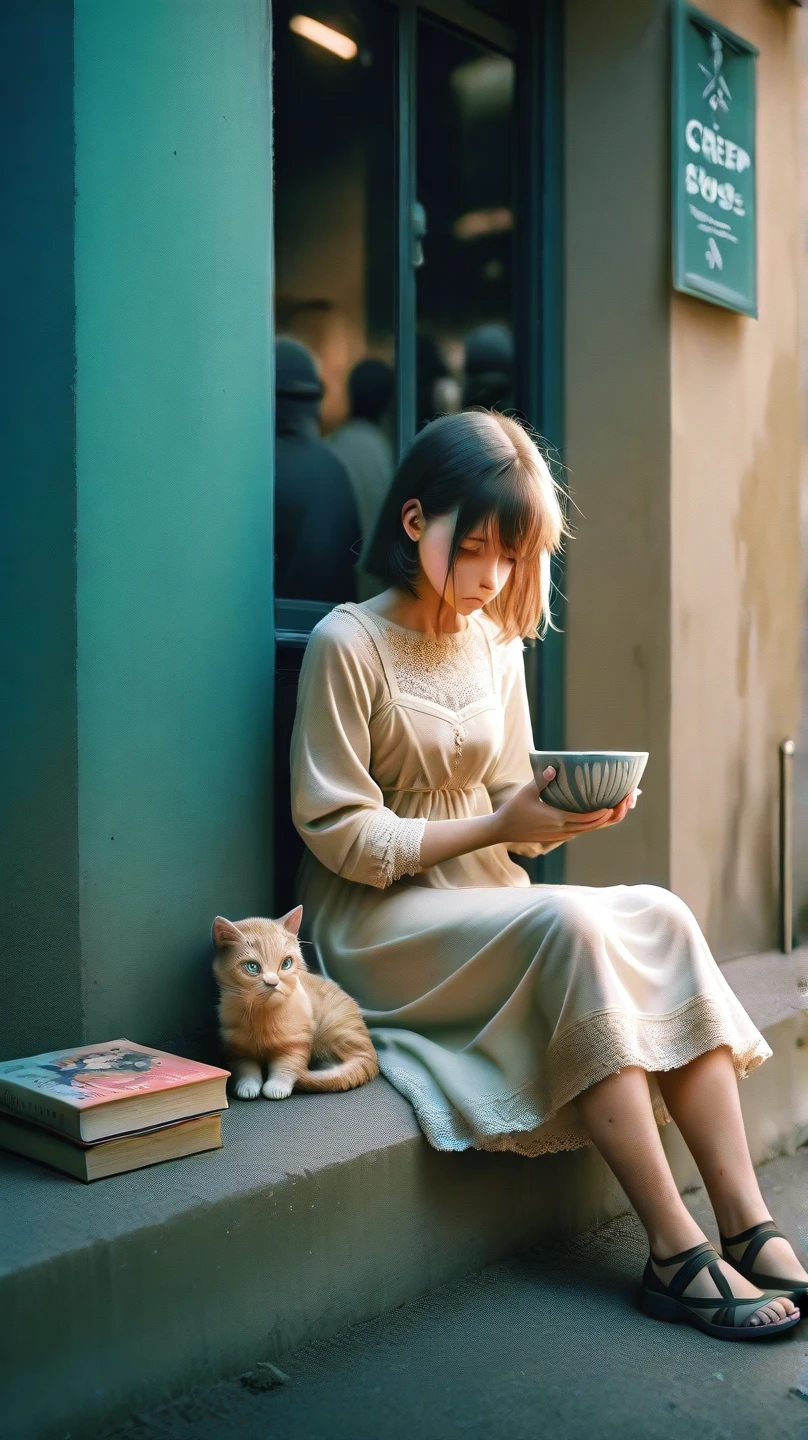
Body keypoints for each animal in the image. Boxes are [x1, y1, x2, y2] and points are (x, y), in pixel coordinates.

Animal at [213, 910, 380, 1100]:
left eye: (286, 963)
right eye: (252, 967)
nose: (273, 982)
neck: (263, 1016)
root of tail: (370, 1053)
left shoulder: (298, 1040)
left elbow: (287, 1066)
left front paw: (277, 1087)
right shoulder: (236, 1047)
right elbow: (245, 1069)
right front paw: (247, 1087)